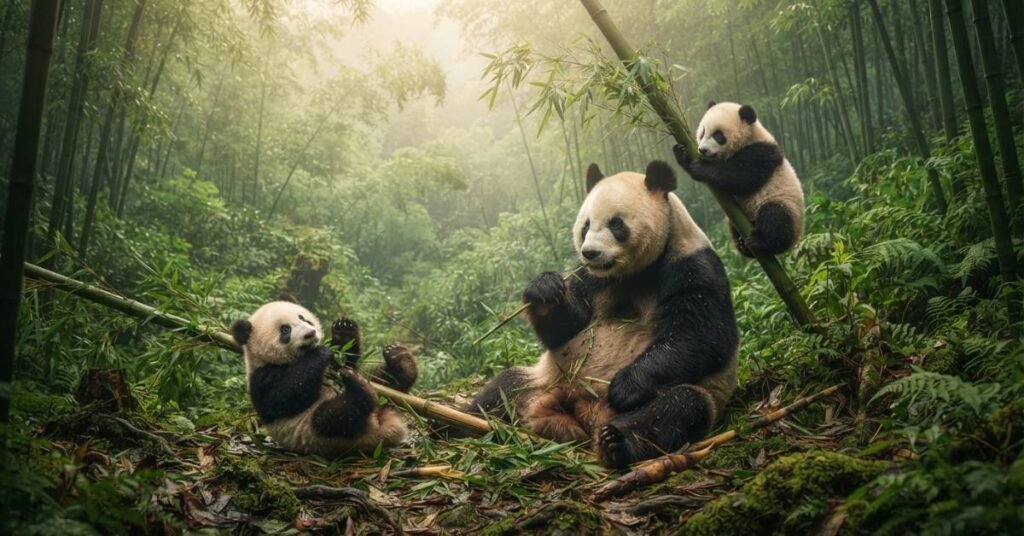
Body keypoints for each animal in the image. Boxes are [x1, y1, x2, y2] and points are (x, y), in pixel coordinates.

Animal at [230, 299, 418, 457]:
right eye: (285, 330)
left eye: (304, 318)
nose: (310, 334)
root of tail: (381, 429)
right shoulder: (263, 375)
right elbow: (281, 398)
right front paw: (320, 352)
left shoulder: (336, 365)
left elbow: (346, 359)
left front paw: (344, 330)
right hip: (316, 433)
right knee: (332, 417)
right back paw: (359, 389)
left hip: (385, 397)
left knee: (386, 382)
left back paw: (401, 361)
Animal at [460, 161, 740, 469]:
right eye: (585, 226)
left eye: (616, 224)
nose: (590, 252)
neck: (634, 272)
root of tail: (581, 411)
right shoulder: (590, 277)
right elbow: (566, 328)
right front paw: (544, 289)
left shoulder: (693, 265)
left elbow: (703, 335)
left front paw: (625, 386)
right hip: (544, 379)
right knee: (501, 390)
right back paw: (455, 425)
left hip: (690, 396)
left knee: (678, 408)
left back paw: (616, 443)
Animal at [673, 101, 804, 257]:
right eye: (703, 132)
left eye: (718, 135)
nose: (702, 150)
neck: (750, 137)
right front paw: (681, 153)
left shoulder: (763, 152)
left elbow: (740, 176)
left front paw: (700, 168)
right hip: (737, 218)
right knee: (732, 227)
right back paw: (742, 244)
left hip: (784, 202)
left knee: (777, 218)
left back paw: (761, 241)